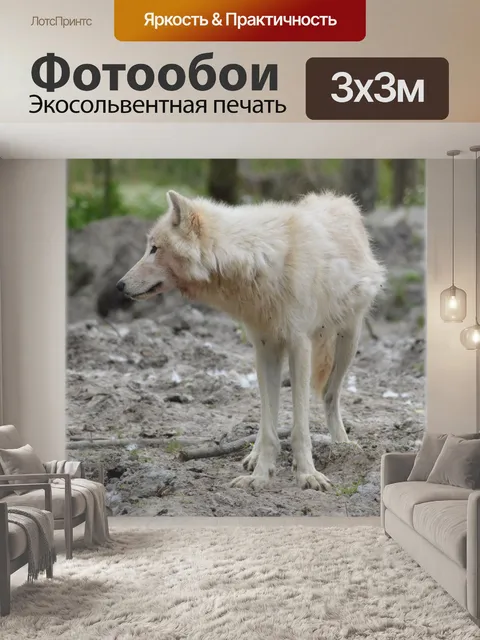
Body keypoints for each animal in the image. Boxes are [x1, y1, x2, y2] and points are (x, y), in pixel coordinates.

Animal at [117, 190, 385, 491]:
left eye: (154, 248)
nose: (119, 285)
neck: (259, 260)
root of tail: (338, 198)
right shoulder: (265, 347)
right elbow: (269, 425)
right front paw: (260, 475)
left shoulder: (299, 345)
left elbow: (300, 427)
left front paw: (308, 475)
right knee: (270, 414)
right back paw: (254, 455)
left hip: (349, 341)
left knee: (329, 394)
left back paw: (343, 444)